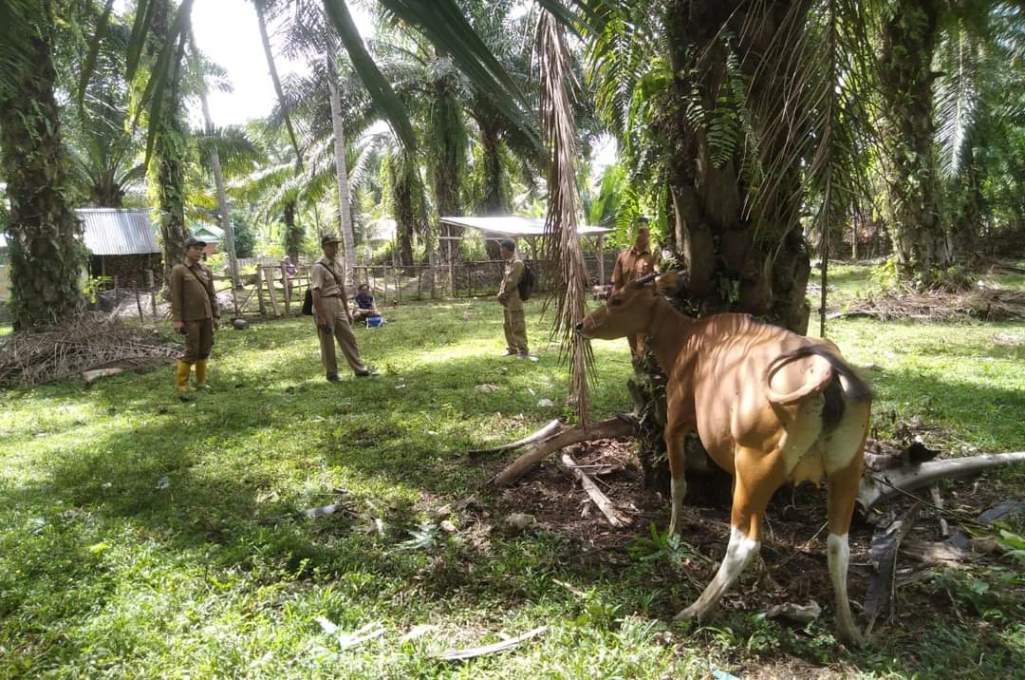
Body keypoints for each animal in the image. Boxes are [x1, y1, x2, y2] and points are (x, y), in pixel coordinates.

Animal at [574, 270, 869, 644]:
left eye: (617, 298)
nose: (582, 324)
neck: (686, 339)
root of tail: (829, 377)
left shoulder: (676, 423)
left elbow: (679, 485)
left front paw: (673, 535)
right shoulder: (732, 460)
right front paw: (766, 576)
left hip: (758, 462)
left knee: (744, 541)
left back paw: (695, 609)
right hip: (846, 467)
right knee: (837, 545)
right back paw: (850, 628)